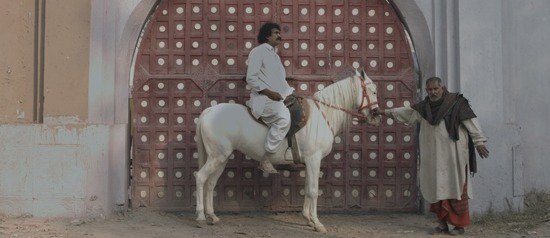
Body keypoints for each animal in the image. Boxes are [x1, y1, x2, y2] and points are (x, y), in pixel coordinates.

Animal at [196, 69, 382, 232]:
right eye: (372, 91)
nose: (377, 115)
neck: (322, 115)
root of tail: (208, 111)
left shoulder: (309, 162)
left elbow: (307, 187)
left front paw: (307, 219)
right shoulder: (314, 160)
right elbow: (313, 190)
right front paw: (317, 223)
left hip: (222, 157)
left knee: (210, 183)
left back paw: (212, 216)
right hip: (217, 157)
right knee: (200, 177)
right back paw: (200, 216)